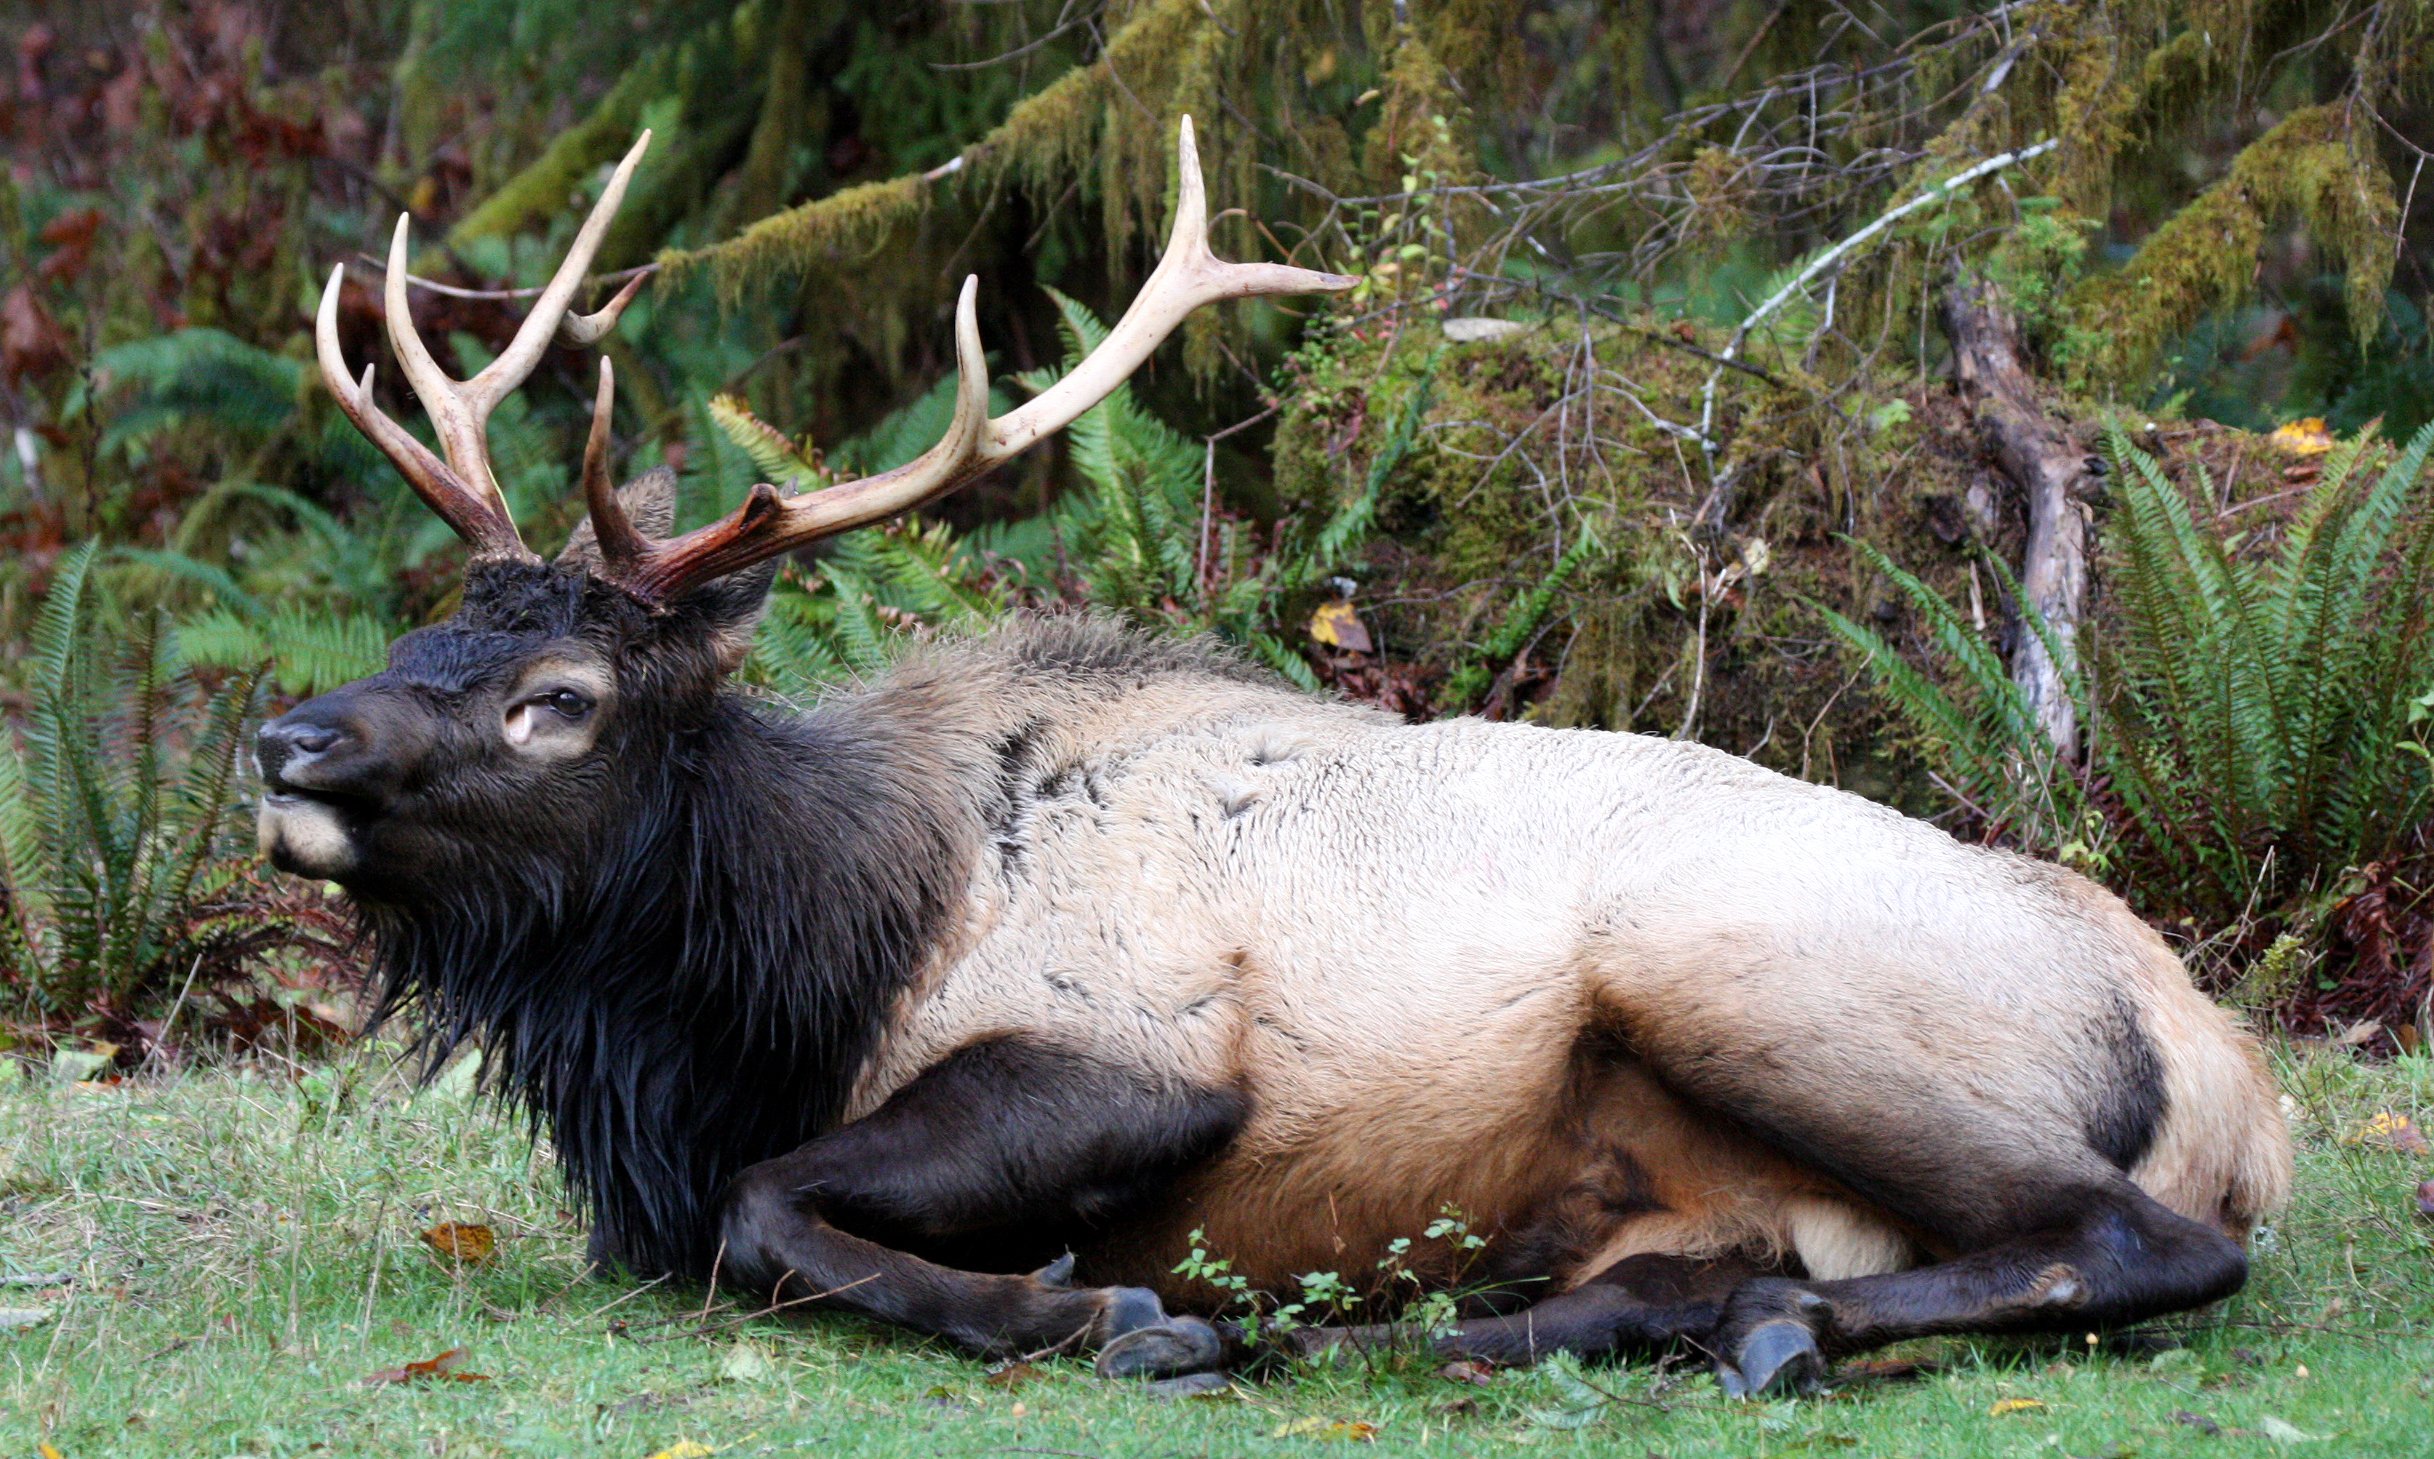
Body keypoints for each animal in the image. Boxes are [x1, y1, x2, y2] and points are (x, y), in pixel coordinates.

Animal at [255, 119, 2291, 1396]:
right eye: (426, 629)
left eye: (561, 695)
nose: (286, 739)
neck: (790, 969)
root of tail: (2235, 1085)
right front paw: (1152, 1313)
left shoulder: (1139, 1055)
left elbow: (766, 1210)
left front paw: (1108, 1309)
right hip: (1688, 1171)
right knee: (1667, 1281)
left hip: (1746, 973)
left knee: (2135, 1239)